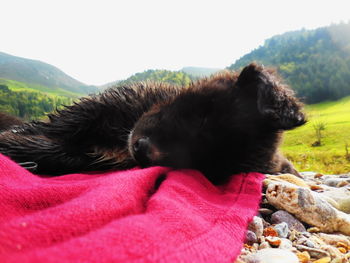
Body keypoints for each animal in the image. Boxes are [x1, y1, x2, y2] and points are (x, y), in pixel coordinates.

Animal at [0, 63, 304, 184]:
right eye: (203, 113)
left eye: (204, 165)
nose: (142, 149)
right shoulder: (99, 107)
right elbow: (55, 128)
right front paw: (13, 138)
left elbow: (63, 152)